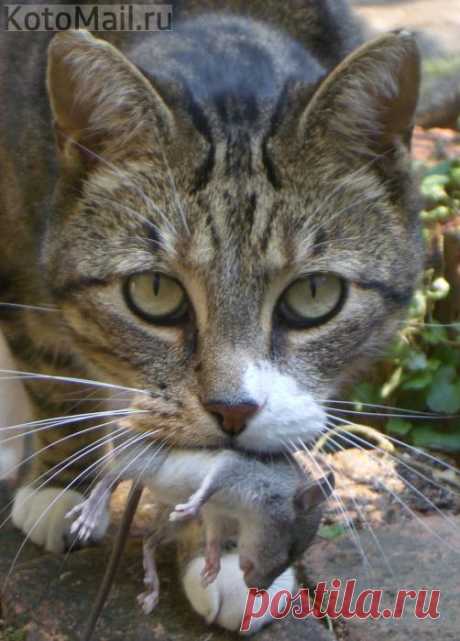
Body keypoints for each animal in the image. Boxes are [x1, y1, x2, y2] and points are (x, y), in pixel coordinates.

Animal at [0, 0, 424, 632]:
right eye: (154, 290)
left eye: (314, 294)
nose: (232, 409)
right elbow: (52, 372)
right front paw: (59, 484)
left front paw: (223, 553)